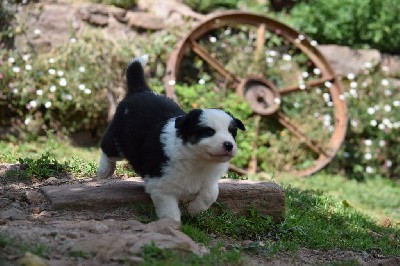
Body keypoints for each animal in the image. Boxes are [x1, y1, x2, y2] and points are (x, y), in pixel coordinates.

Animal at [98, 55, 245, 221]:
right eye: (208, 131)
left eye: (232, 132)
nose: (229, 145)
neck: (199, 161)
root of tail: (141, 91)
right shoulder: (160, 186)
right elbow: (170, 212)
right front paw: (172, 224)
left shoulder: (209, 181)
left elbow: (211, 194)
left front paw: (193, 209)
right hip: (117, 138)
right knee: (107, 149)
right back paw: (104, 171)